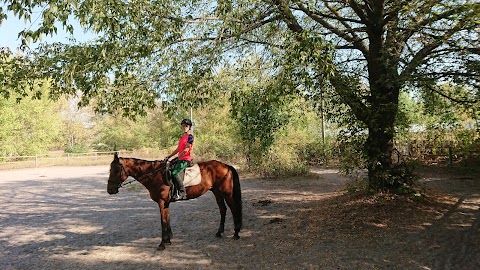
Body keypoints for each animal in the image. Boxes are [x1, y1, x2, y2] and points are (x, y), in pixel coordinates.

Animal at [107, 154, 242, 251]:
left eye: (115, 170)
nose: (110, 190)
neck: (155, 175)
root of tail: (226, 166)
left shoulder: (161, 202)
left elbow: (163, 221)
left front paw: (162, 244)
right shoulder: (165, 203)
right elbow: (167, 219)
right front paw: (168, 240)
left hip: (226, 193)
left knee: (233, 208)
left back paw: (236, 233)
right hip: (217, 192)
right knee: (223, 209)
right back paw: (219, 232)